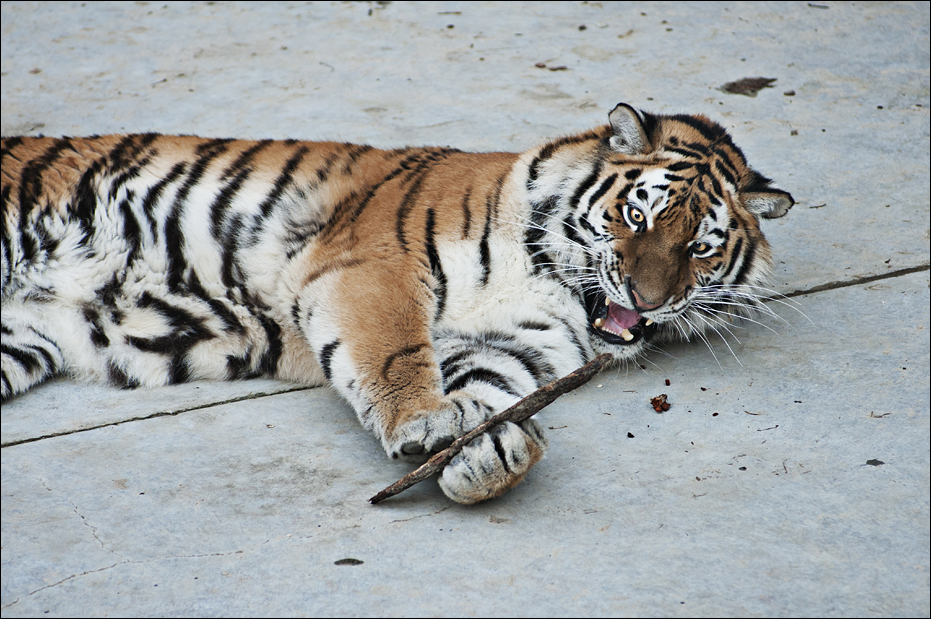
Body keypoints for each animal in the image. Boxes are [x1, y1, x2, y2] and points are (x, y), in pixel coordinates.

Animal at [1, 103, 793, 504]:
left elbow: (491, 388)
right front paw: (423, 421)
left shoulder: (507, 340)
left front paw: (489, 452)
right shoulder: (373, 263)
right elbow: (394, 349)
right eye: (637, 216)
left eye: (699, 247)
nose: (648, 299)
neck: (549, 278)